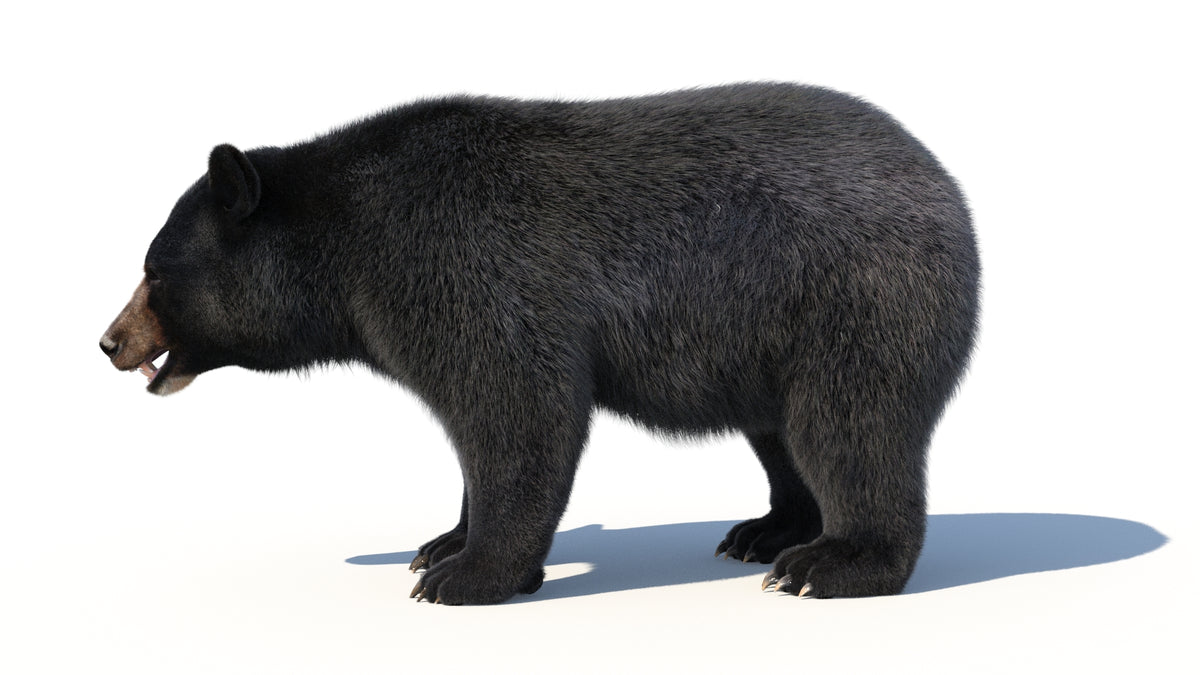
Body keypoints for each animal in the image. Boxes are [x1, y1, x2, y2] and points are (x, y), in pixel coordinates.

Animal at [100, 83, 980, 605]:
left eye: (154, 270)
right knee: (783, 432)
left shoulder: (462, 267)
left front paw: (466, 574)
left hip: (858, 297)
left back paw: (830, 561)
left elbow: (518, 409)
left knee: (850, 424)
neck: (346, 245)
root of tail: (945, 184)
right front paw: (442, 541)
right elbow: (480, 428)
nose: (108, 340)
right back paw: (769, 529)